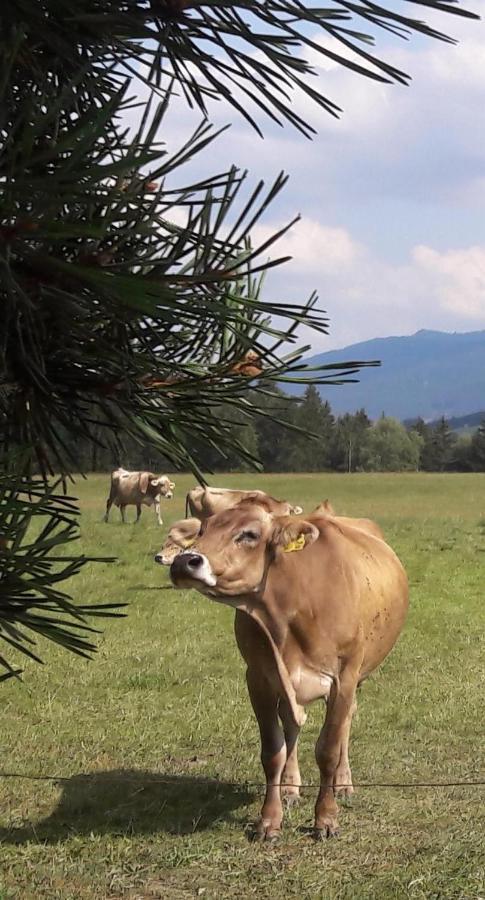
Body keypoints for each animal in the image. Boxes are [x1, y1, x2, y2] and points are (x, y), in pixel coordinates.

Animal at [164, 502, 406, 840]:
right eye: (202, 530)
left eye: (249, 534)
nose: (184, 561)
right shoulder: (259, 679)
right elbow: (273, 751)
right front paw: (269, 819)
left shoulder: (343, 679)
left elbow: (328, 749)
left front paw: (326, 818)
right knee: (292, 725)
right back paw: (290, 788)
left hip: (357, 677)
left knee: (346, 723)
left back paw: (343, 783)